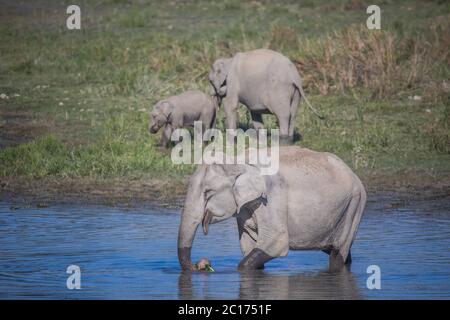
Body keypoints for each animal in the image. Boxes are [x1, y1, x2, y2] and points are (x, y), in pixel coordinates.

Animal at [178, 146, 368, 272]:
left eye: (207, 192)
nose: (201, 264)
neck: (238, 159)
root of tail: (354, 175)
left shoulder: (271, 196)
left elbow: (276, 242)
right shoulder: (245, 208)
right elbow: (248, 245)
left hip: (354, 205)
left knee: (337, 253)